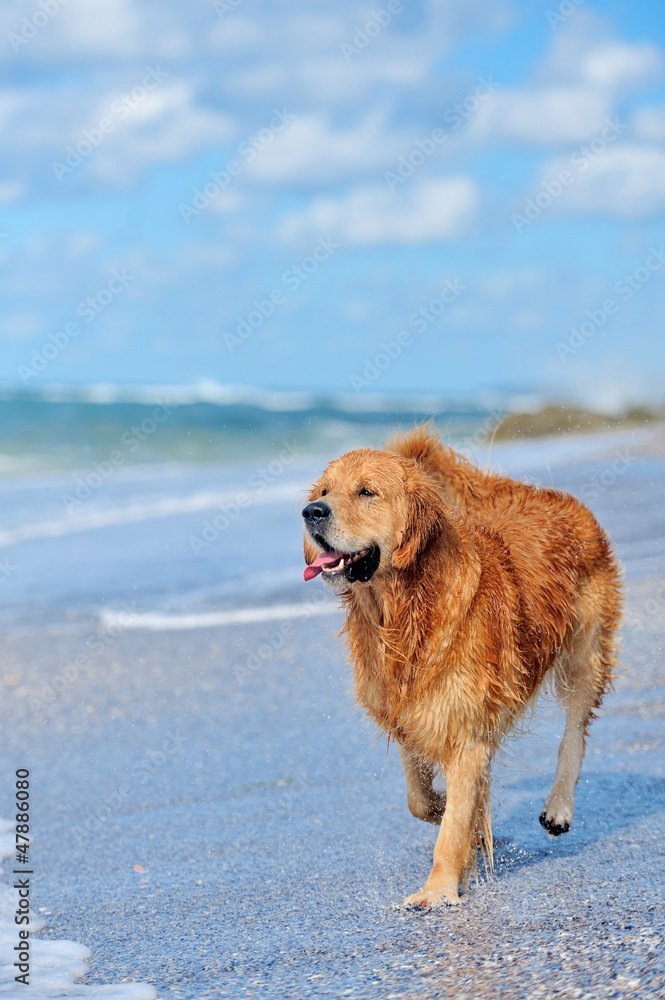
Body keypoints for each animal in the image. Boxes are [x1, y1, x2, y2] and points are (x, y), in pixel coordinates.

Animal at [302, 426, 624, 912]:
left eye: (366, 492)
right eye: (324, 490)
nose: (311, 512)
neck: (404, 609)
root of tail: (542, 492)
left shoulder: (468, 730)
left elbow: (452, 826)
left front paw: (437, 890)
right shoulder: (408, 708)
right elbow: (422, 800)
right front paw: (459, 820)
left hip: (584, 647)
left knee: (576, 729)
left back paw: (559, 807)